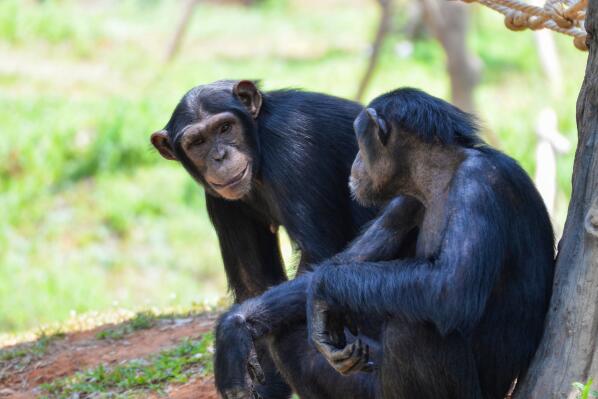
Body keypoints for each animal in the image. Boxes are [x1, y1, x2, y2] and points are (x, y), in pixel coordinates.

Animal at [150, 79, 380, 398]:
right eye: (197, 143)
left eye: (225, 128)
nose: (219, 156)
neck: (259, 140)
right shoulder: (220, 200)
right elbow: (254, 282)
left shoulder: (293, 148)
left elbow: (318, 255)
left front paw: (233, 334)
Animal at [214, 87, 556, 399]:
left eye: (360, 143)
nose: (354, 161)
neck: (440, 176)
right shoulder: (403, 202)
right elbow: (348, 260)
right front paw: (234, 328)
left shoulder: (479, 185)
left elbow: (451, 287)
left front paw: (322, 294)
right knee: (286, 333)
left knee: (412, 328)